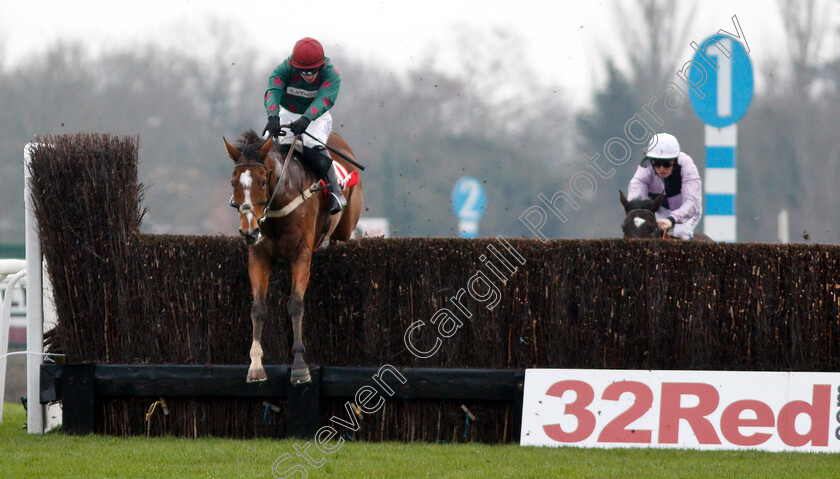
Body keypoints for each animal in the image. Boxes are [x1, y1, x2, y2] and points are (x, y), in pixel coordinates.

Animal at [225, 129, 362, 384]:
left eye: (262, 181)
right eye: (233, 182)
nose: (248, 231)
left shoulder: (301, 255)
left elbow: (296, 305)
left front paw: (299, 366)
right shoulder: (258, 257)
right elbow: (258, 308)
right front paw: (255, 365)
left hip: (347, 225)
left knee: (341, 236)